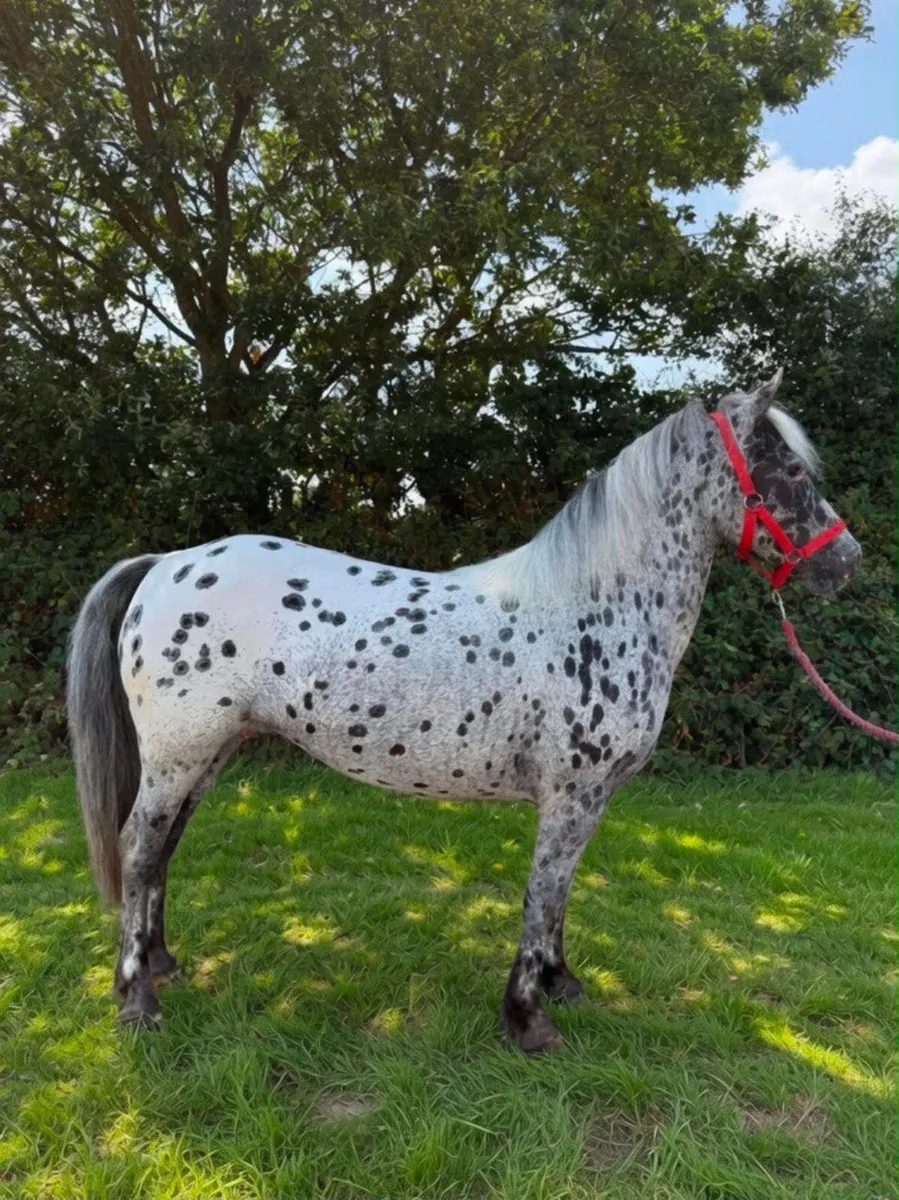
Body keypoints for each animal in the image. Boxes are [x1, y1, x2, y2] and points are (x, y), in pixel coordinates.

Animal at [67, 371, 860, 1052]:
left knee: (162, 848)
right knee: (138, 849)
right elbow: (542, 894)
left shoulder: (588, 800)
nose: (846, 563)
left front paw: (560, 984)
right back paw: (138, 1001)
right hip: (178, 755)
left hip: (204, 755)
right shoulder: (571, 796)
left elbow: (560, 895)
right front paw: (528, 1019)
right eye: (792, 472)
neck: (595, 609)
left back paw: (161, 962)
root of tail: (165, 564)